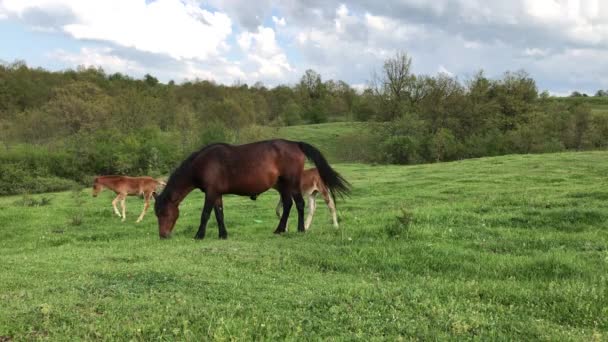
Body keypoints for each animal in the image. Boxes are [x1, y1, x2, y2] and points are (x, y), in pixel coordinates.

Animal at [153, 140, 352, 239]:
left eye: (164, 213)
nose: (163, 235)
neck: (203, 163)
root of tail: (295, 144)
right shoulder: (216, 194)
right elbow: (219, 214)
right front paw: (223, 234)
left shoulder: (210, 193)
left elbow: (206, 214)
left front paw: (199, 235)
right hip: (283, 186)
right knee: (288, 205)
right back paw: (279, 229)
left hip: (293, 183)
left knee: (300, 204)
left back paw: (301, 229)